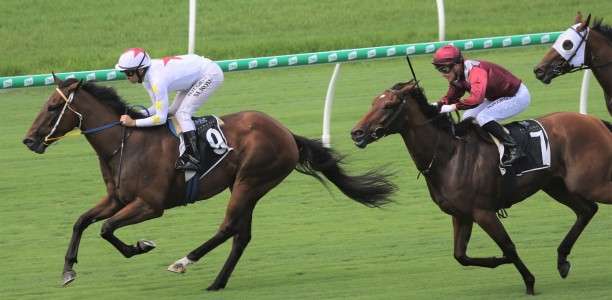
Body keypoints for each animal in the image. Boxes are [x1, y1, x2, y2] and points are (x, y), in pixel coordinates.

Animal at [21, 76, 396, 292]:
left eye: (52, 107)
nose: (28, 140)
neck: (126, 143)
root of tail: (286, 132)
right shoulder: (117, 198)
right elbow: (82, 221)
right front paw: (68, 270)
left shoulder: (150, 205)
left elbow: (106, 228)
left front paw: (140, 246)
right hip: (248, 187)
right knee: (241, 235)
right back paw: (217, 283)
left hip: (250, 180)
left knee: (228, 227)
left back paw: (183, 262)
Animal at [350, 80, 612, 296]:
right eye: (373, 102)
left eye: (388, 105)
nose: (357, 132)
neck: (449, 155)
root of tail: (595, 120)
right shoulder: (461, 215)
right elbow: (461, 256)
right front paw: (499, 260)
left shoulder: (483, 212)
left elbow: (508, 246)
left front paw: (529, 282)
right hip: (556, 185)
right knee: (587, 210)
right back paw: (562, 260)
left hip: (589, 182)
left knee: (591, 206)